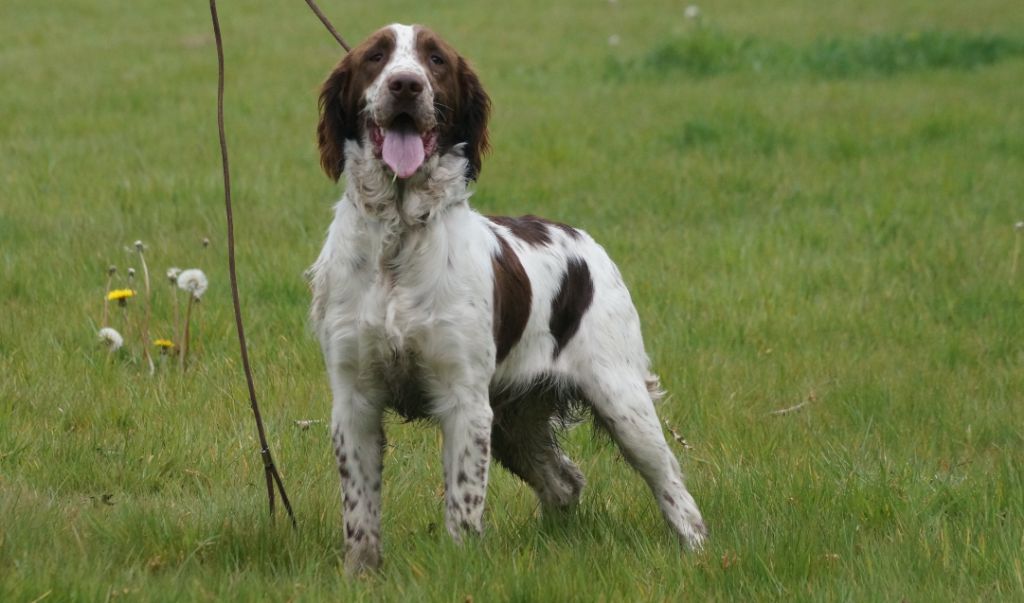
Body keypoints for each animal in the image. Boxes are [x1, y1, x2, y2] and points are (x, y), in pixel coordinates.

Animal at [305, 22, 704, 569]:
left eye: (435, 60)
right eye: (376, 57)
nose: (406, 85)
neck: (398, 235)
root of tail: (586, 242)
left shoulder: (465, 401)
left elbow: (463, 504)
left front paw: (459, 569)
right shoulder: (354, 398)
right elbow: (360, 514)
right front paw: (360, 575)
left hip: (621, 400)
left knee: (673, 486)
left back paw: (699, 552)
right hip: (516, 419)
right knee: (564, 481)